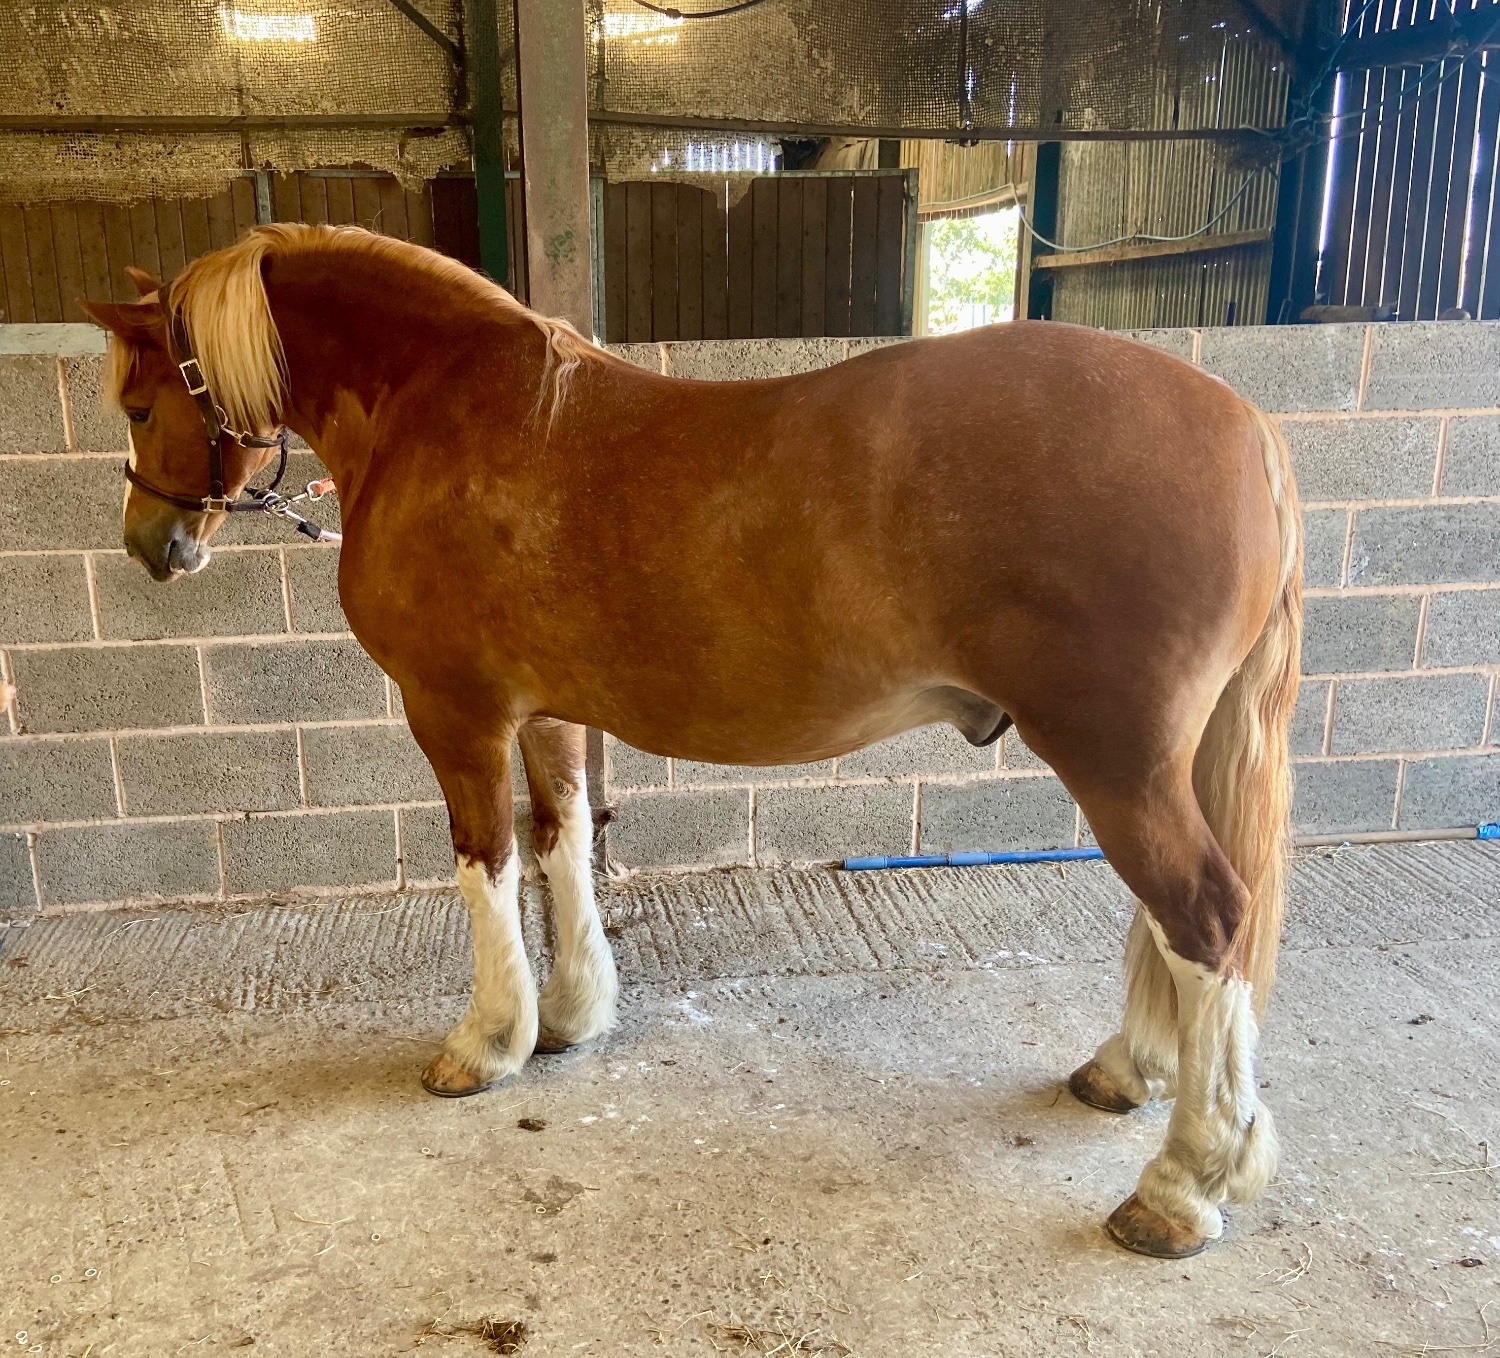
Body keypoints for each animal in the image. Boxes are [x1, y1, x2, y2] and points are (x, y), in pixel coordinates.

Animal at [83, 223, 1301, 1259]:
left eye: (138, 404)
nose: (152, 543)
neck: (439, 406)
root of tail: (1247, 423)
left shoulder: (455, 714)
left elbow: (488, 862)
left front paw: (485, 1043)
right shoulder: (550, 712)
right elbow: (563, 839)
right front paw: (573, 1015)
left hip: (1117, 761)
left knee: (1206, 916)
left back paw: (1181, 1186)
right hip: (1153, 765)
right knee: (1175, 926)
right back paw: (1131, 1075)